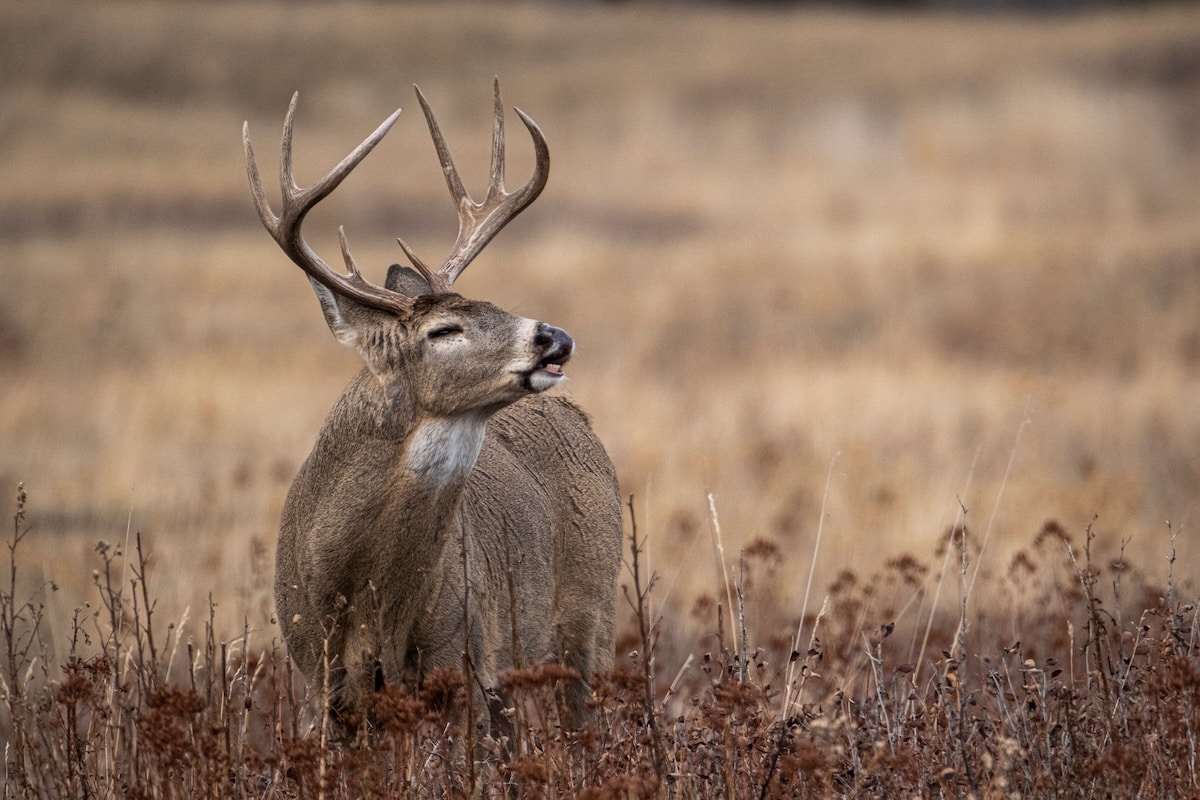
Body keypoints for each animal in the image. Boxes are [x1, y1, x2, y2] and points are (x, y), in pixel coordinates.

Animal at [242, 80, 622, 736]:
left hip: (588, 614)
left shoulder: (458, 655)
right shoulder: (318, 678)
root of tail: (581, 420)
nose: (555, 337)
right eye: (443, 330)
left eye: (492, 302)